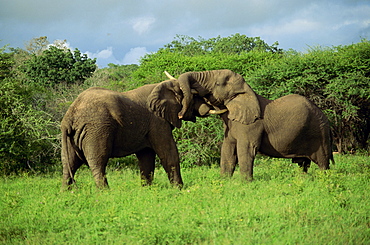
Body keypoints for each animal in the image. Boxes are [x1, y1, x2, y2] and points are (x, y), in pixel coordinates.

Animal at [60, 79, 214, 189]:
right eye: (196, 96)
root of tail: (70, 115)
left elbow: (146, 157)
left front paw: (147, 190)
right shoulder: (157, 121)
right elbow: (169, 153)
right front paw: (179, 189)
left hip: (72, 136)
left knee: (69, 164)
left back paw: (65, 193)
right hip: (97, 129)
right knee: (98, 161)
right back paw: (105, 192)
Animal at [169, 70, 334, 181]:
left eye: (217, 83)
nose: (180, 115)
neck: (245, 91)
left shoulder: (251, 125)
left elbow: (245, 149)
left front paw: (245, 183)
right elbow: (227, 150)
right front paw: (224, 181)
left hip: (319, 133)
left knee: (323, 162)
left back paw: (324, 179)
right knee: (303, 164)